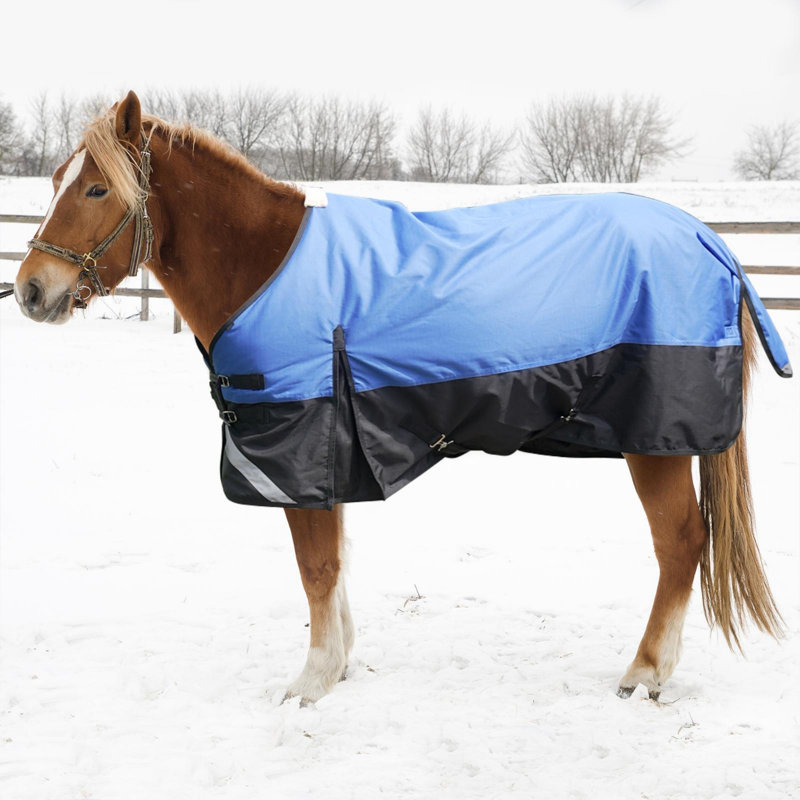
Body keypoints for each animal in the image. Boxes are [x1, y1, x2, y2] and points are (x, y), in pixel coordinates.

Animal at [13, 90, 787, 704]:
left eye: (96, 190)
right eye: (55, 181)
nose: (30, 290)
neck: (266, 265)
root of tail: (707, 240)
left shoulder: (300, 447)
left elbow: (316, 565)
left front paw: (311, 682)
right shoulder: (328, 454)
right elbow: (333, 562)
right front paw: (339, 663)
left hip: (653, 445)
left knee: (680, 544)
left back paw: (646, 672)